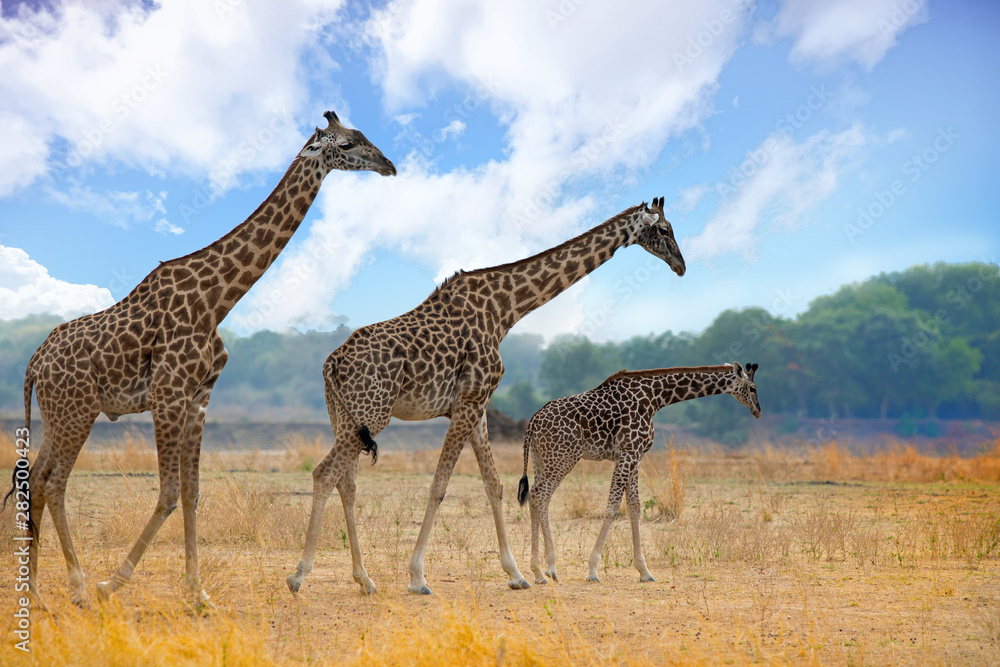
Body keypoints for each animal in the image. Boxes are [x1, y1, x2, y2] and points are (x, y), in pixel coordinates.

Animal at [5, 111, 395, 607]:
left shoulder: (198, 398)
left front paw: (197, 592)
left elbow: (191, 492)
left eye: (364, 137)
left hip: (60, 412)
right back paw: (78, 587)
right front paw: (114, 581)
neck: (217, 301)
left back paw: (34, 591)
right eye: (345, 145)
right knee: (54, 483)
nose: (389, 166)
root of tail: (34, 363)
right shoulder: (168, 395)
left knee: (35, 480)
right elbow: (169, 492)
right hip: (77, 410)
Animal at [286, 196, 686, 596]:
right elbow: (439, 485)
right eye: (664, 229)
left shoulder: (475, 406)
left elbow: (494, 485)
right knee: (324, 473)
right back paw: (299, 575)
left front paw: (517, 574)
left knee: (346, 482)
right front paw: (418, 577)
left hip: (346, 416)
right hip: (374, 413)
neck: (505, 309)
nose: (681, 266)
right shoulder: (469, 401)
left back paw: (364, 579)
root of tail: (332, 363)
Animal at [517, 362, 760, 584]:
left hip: (542, 459)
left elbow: (634, 508)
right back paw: (548, 568)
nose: (758, 411)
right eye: (753, 387)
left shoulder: (636, 456)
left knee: (535, 496)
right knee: (541, 495)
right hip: (563, 457)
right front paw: (592, 570)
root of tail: (533, 421)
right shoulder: (628, 453)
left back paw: (538, 571)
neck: (655, 398)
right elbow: (612, 507)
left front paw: (644, 571)